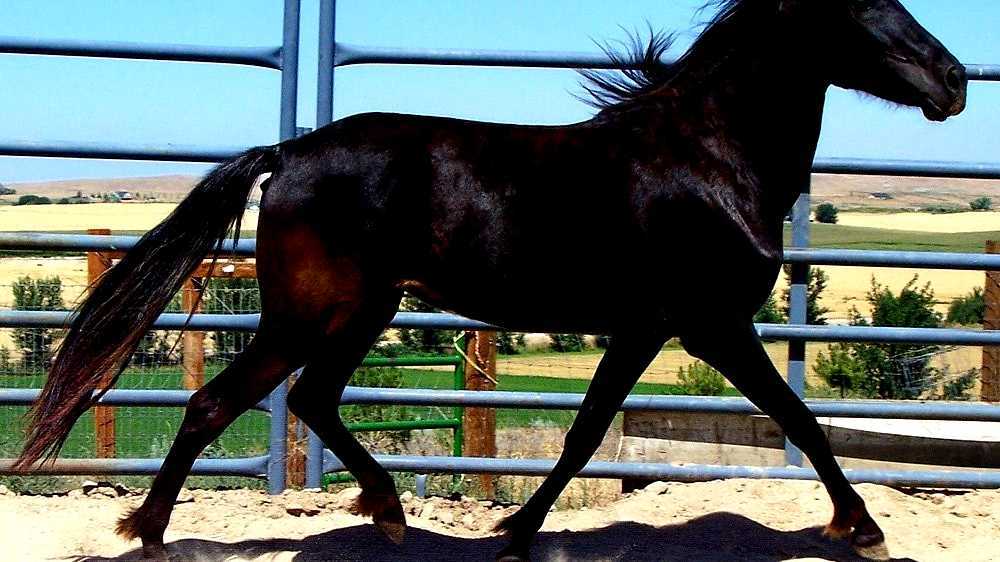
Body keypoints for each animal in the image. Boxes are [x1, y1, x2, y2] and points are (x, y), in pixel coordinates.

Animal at [16, 0, 966, 560]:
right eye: (865, 6)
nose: (955, 80)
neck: (708, 159)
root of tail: (289, 152)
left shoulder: (646, 326)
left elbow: (586, 433)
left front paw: (515, 528)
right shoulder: (710, 322)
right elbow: (799, 419)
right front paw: (864, 528)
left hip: (363, 312)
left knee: (313, 399)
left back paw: (387, 511)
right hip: (308, 317)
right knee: (216, 403)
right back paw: (149, 531)